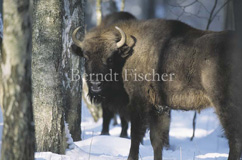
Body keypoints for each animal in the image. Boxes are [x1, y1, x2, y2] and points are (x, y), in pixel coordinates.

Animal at [72, 16, 242, 159]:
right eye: (85, 57)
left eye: (110, 58)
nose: (95, 84)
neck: (127, 56)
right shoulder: (159, 108)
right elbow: (156, 140)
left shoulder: (139, 104)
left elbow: (136, 136)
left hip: (225, 105)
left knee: (234, 139)